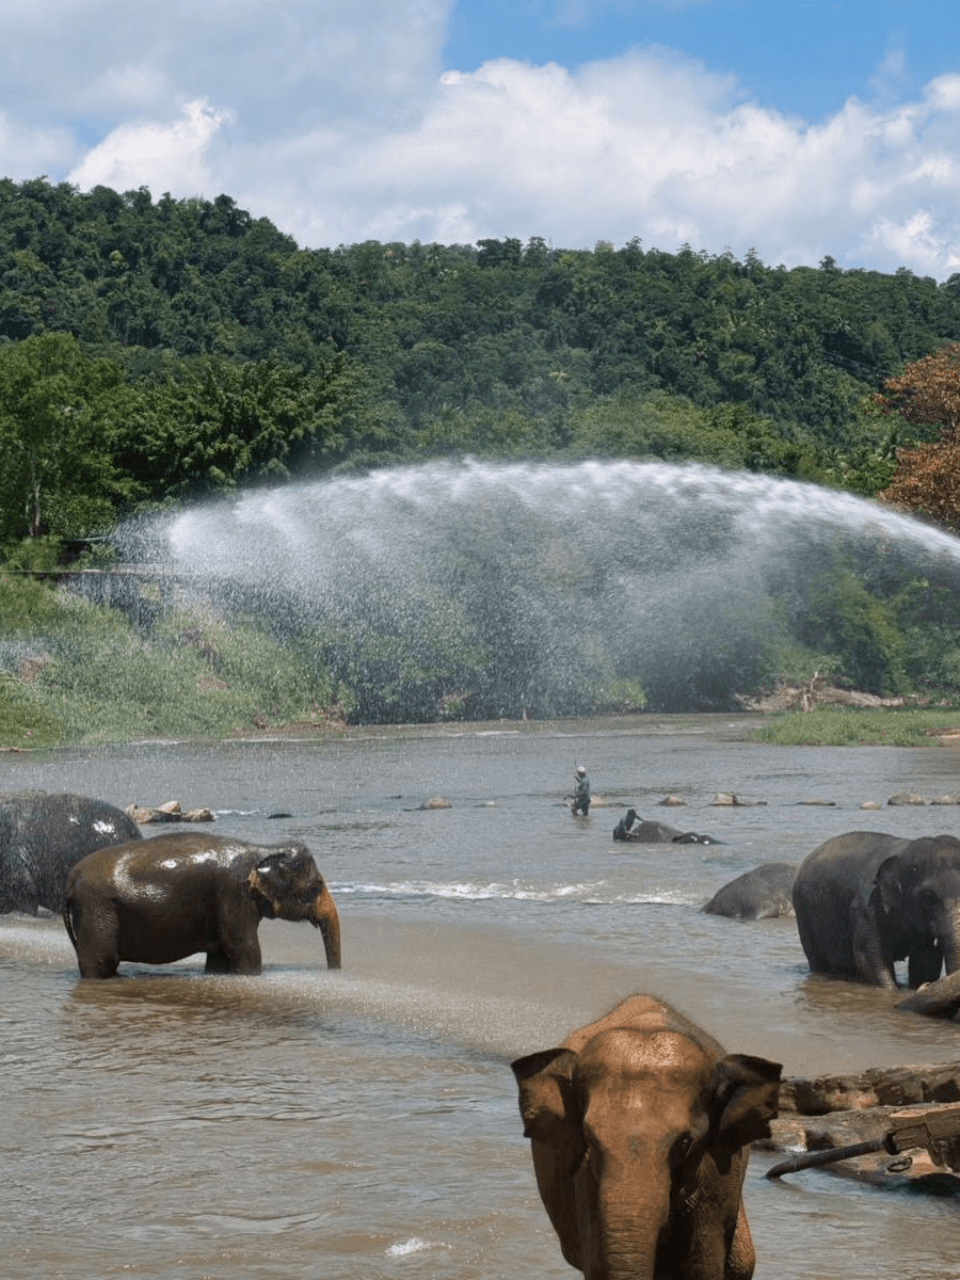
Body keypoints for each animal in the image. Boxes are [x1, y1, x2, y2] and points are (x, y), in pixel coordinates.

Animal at [63, 832, 341, 979]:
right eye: (316, 885)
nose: (332, 976)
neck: (262, 849)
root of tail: (71, 877)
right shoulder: (233, 895)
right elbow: (245, 950)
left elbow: (219, 956)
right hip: (97, 906)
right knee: (102, 961)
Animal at [792, 830, 960, 988]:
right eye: (930, 896)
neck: (905, 850)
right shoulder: (867, 907)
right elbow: (870, 956)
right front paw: (893, 990)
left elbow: (926, 962)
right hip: (804, 917)